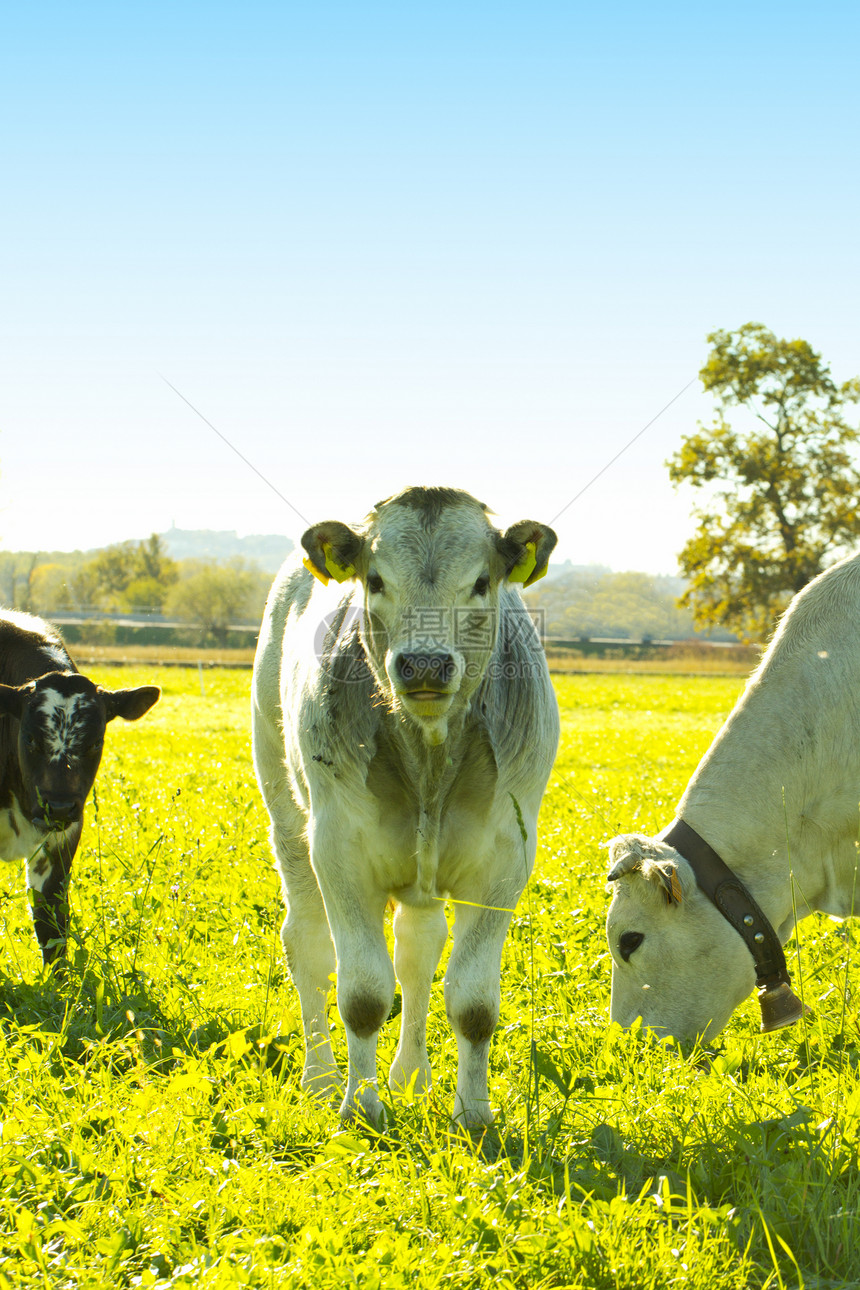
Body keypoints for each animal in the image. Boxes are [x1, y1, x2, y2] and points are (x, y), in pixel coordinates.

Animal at [250, 487, 559, 1124]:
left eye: (481, 582)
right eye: (374, 579)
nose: (424, 665)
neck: (430, 758)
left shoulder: (506, 857)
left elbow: (472, 1001)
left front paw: (473, 1115)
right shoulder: (339, 849)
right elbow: (363, 993)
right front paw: (360, 1110)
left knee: (417, 952)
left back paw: (411, 1078)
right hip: (286, 812)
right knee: (308, 946)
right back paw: (321, 1080)